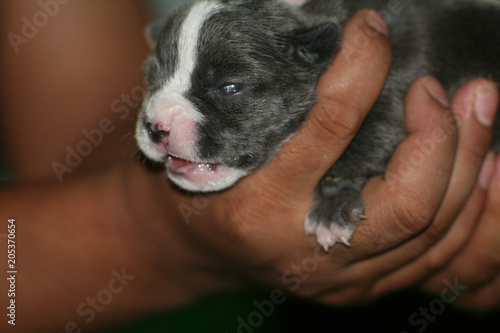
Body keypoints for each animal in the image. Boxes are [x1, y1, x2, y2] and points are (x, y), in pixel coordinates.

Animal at [136, 0, 500, 249]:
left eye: (230, 87)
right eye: (151, 76)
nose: (156, 127)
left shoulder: (397, 79)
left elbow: (371, 137)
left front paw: (332, 208)